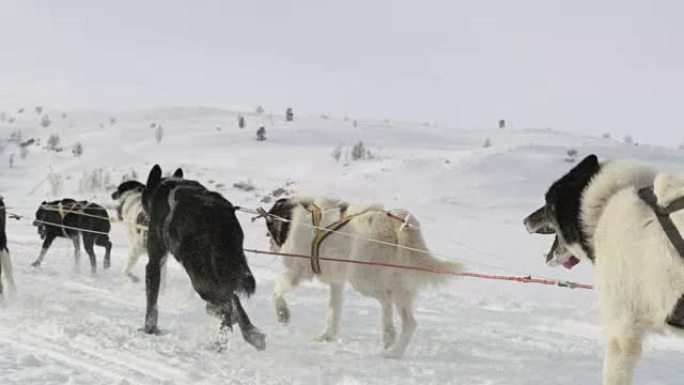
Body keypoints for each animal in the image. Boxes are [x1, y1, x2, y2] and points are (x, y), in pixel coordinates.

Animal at [140, 164, 266, 350]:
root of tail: (216, 216)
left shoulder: (155, 261)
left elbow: (152, 301)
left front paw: (149, 328)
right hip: (220, 268)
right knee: (232, 299)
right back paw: (250, 333)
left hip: (199, 277)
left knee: (227, 306)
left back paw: (220, 342)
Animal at [264, 196, 462, 356]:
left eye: (269, 227)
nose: (269, 245)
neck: (296, 216)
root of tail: (394, 221)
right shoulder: (336, 283)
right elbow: (333, 312)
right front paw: (326, 336)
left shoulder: (297, 272)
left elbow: (277, 290)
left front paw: (282, 313)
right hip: (398, 286)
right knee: (404, 318)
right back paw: (392, 348)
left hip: (362, 277)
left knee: (389, 303)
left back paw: (390, 341)